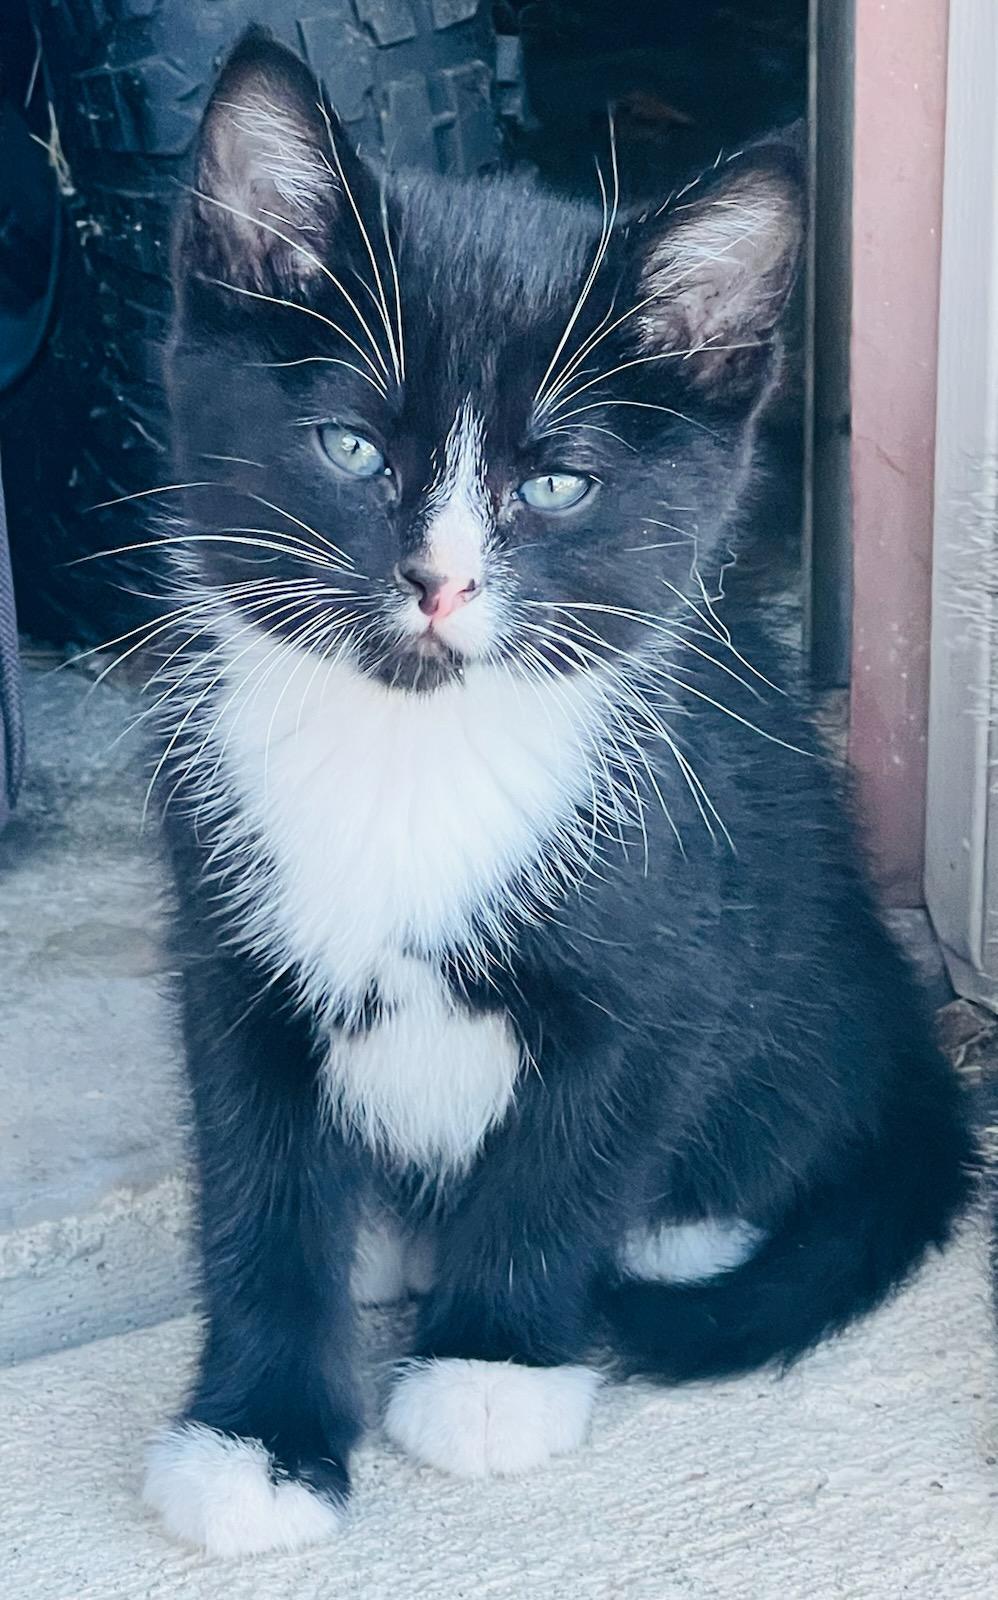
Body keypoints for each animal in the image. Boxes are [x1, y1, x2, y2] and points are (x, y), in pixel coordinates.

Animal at [142, 31, 972, 1555]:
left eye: (557, 486)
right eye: (352, 449)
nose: (439, 581)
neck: (409, 754)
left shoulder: (668, 937)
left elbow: (572, 1148)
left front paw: (490, 1369)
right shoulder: (226, 942)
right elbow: (259, 1188)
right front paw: (255, 1437)